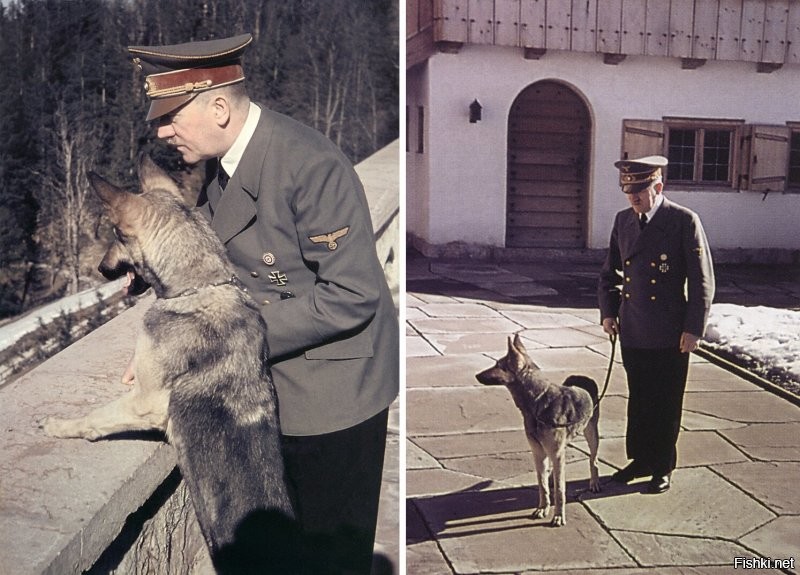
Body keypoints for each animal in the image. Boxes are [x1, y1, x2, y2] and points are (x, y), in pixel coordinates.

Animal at [41, 155, 296, 572]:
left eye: (116, 233)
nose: (100, 269)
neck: (203, 286)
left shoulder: (146, 402)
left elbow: (96, 417)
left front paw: (61, 426)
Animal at [476, 332, 600, 528]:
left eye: (499, 366)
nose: (476, 375)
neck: (537, 402)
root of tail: (581, 376)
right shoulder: (538, 453)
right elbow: (542, 485)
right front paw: (543, 508)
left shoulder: (555, 453)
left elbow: (560, 490)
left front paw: (558, 516)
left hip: (591, 434)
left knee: (593, 460)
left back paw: (594, 482)